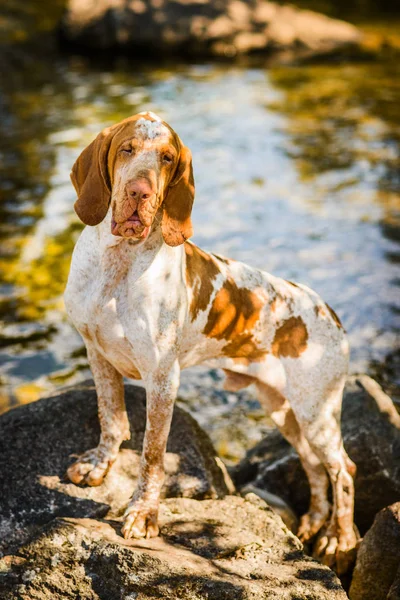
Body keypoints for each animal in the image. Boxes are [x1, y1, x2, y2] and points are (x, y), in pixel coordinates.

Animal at [64, 111, 358, 572]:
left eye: (167, 158)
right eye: (127, 149)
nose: (139, 191)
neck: (118, 265)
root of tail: (328, 310)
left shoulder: (163, 380)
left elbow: (151, 455)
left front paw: (143, 515)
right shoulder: (98, 354)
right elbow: (111, 419)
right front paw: (98, 465)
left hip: (318, 411)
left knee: (343, 468)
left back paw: (339, 538)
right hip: (282, 408)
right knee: (313, 465)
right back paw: (313, 520)